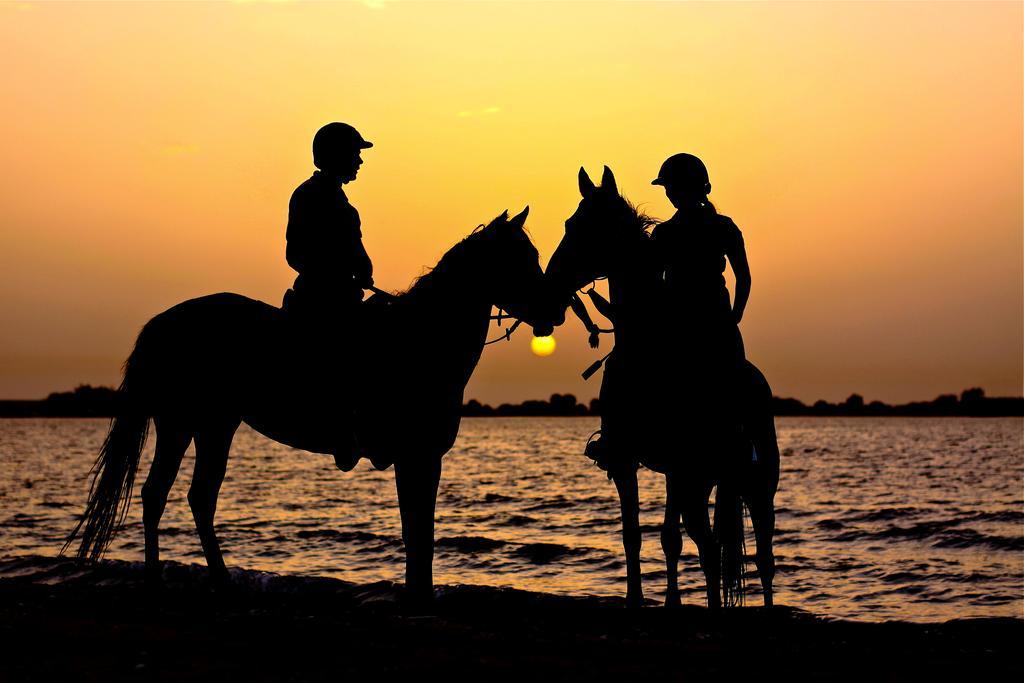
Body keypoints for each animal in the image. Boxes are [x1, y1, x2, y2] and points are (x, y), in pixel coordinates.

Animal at [544, 169, 774, 610]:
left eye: (590, 228)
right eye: (567, 224)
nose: (551, 284)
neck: (647, 349)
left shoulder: (679, 467)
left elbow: (693, 543)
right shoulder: (627, 460)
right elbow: (639, 535)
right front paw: (649, 601)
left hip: (751, 478)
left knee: (758, 553)